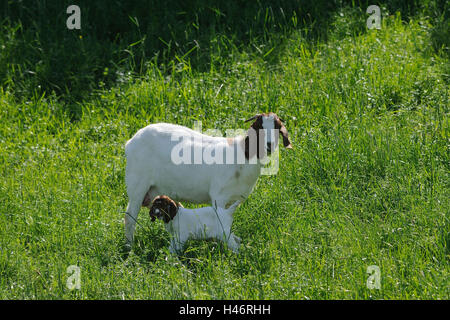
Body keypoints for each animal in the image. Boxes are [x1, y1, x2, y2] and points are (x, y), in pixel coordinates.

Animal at [123, 112, 292, 245]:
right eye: (260, 127)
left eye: (277, 127)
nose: (269, 145)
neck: (242, 157)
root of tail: (131, 141)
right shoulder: (219, 197)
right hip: (137, 183)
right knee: (129, 217)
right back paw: (130, 247)